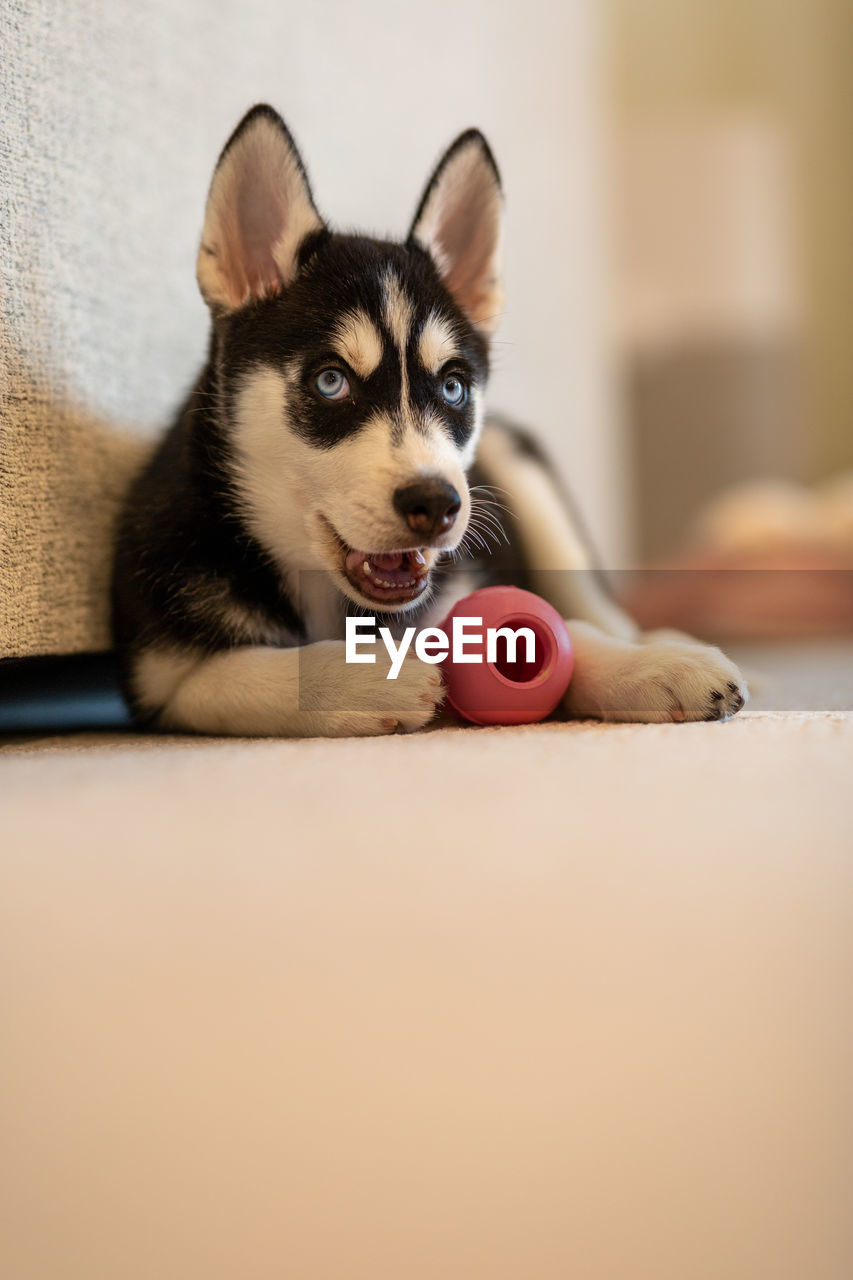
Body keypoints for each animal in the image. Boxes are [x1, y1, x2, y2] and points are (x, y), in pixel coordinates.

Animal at [112, 107, 742, 742]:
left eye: (453, 387)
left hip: (522, 471)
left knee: (595, 607)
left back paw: (657, 640)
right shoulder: (161, 682)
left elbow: (565, 630)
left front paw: (654, 668)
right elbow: (242, 674)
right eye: (330, 382)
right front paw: (369, 676)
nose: (436, 504)